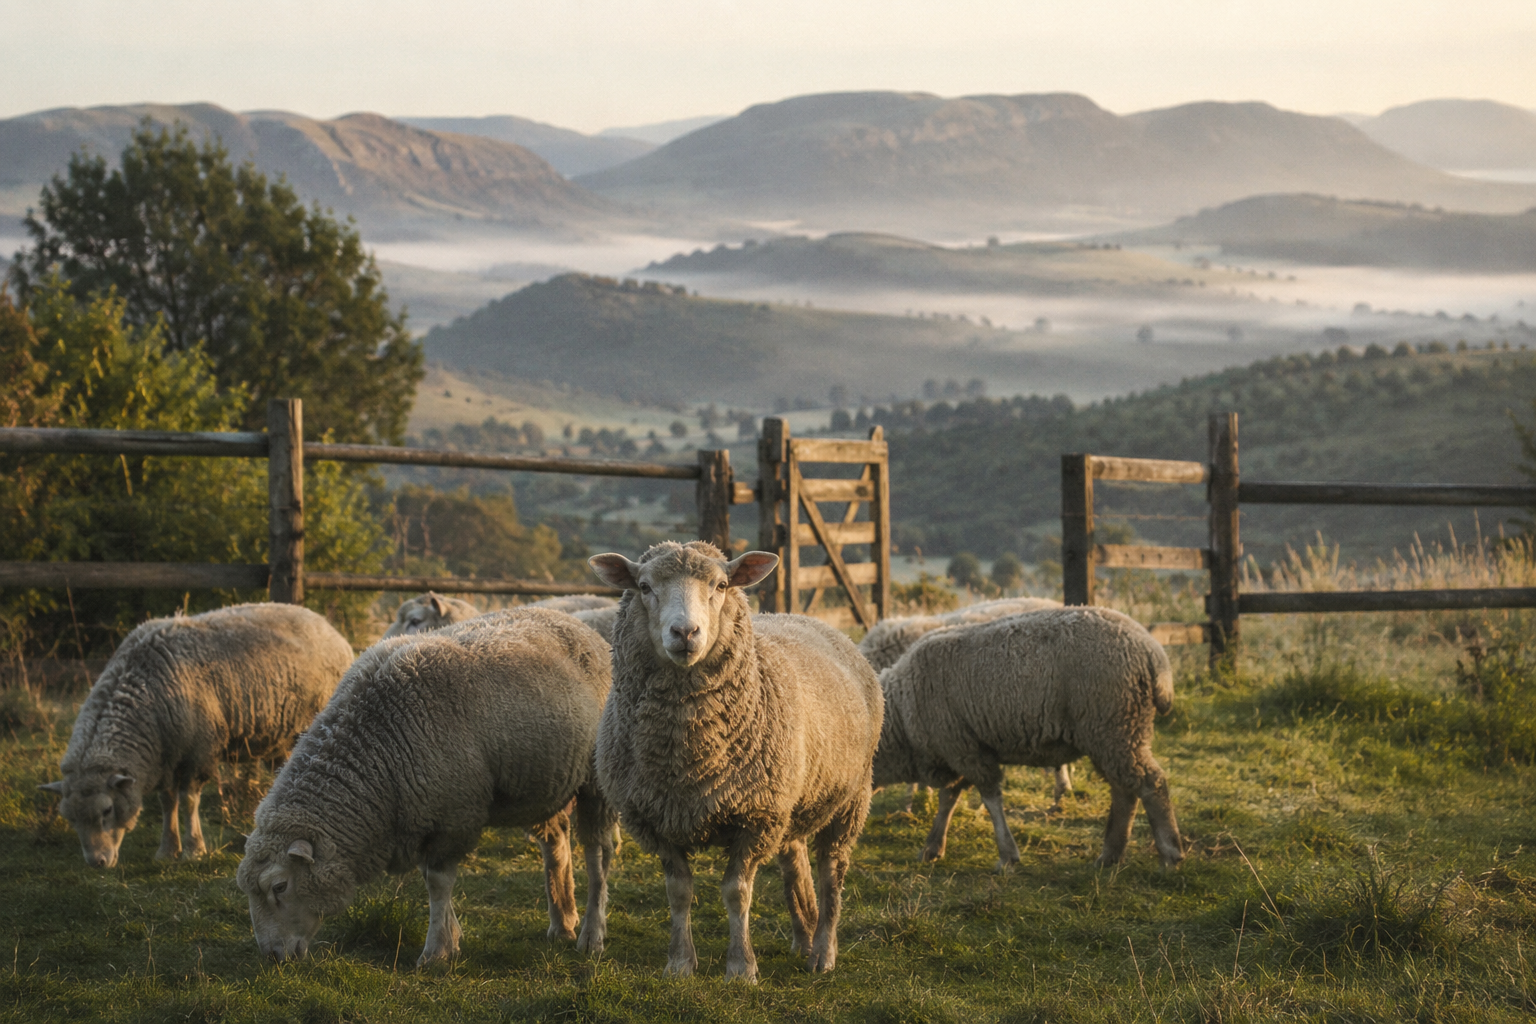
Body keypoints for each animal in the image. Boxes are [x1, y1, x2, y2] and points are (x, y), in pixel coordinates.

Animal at [39, 603, 354, 868]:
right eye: (69, 818)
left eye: (106, 811)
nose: (97, 862)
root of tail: (325, 624)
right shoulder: (165, 758)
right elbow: (168, 802)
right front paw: (167, 850)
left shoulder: (198, 752)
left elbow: (189, 800)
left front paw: (194, 850)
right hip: (280, 740)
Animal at [237, 607, 616, 965]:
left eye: (279, 886)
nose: (272, 956)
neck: (377, 748)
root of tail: (577, 625)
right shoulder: (422, 814)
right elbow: (432, 881)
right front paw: (452, 937)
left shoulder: (453, 815)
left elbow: (438, 883)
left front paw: (436, 951)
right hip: (542, 783)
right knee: (556, 845)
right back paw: (562, 922)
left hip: (595, 781)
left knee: (598, 857)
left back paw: (591, 936)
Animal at [589, 540, 883, 982]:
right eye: (644, 586)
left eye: (721, 585)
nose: (685, 633)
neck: (690, 760)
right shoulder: (656, 819)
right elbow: (678, 893)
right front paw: (679, 963)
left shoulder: (755, 818)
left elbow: (736, 892)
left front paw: (741, 967)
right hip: (788, 802)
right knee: (795, 864)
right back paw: (803, 936)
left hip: (850, 797)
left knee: (832, 872)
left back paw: (822, 953)